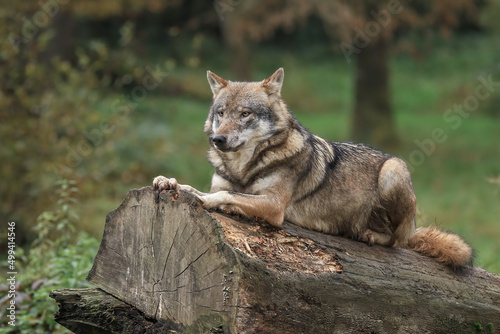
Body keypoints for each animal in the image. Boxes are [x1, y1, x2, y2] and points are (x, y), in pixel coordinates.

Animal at [153, 68, 472, 268]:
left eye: (245, 114)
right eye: (220, 113)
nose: (218, 140)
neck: (243, 167)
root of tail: (414, 228)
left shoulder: (274, 206)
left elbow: (223, 196)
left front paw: (208, 202)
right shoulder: (226, 184)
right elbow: (201, 188)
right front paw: (169, 182)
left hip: (393, 171)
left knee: (396, 242)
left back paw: (370, 235)